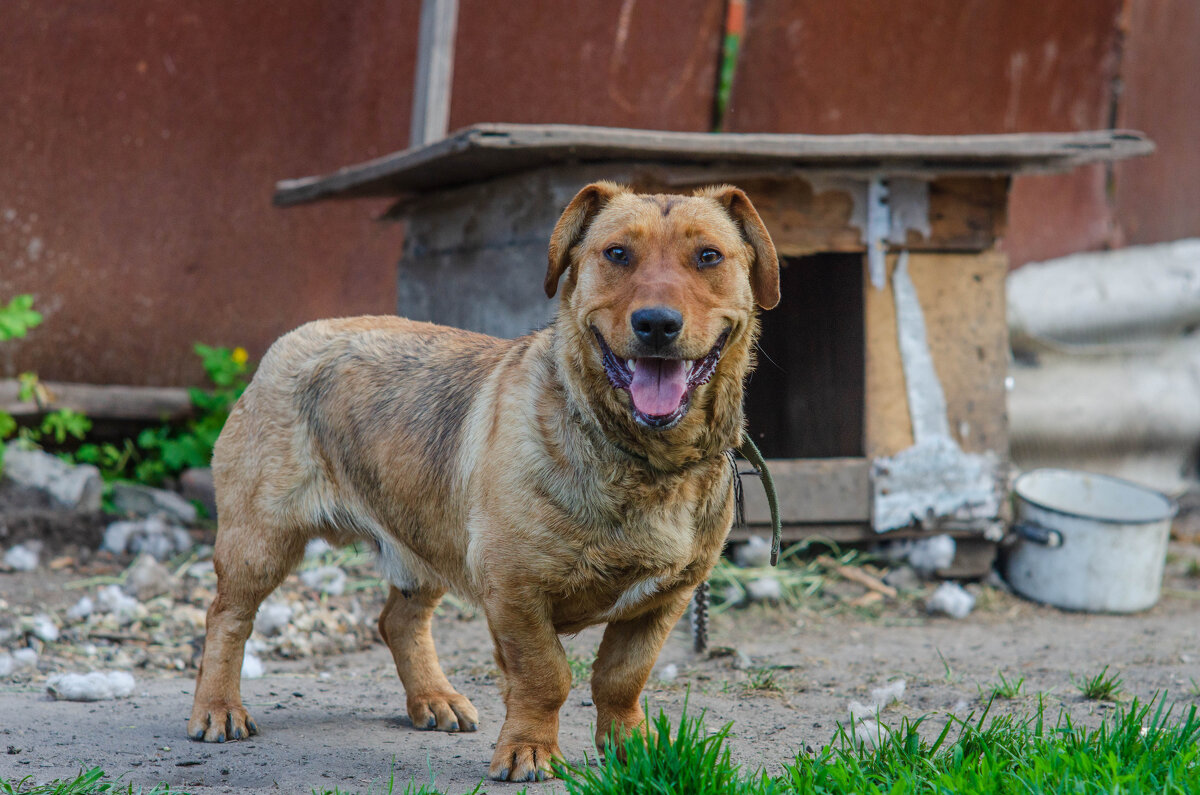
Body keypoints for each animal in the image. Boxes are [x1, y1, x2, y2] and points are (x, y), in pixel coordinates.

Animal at [184, 180, 777, 782]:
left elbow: (622, 675)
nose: (656, 324)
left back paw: (434, 698)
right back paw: (218, 709)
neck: (643, 458)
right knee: (226, 618)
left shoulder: (666, 599)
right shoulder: (515, 591)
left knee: (398, 621)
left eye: (709, 256)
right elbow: (545, 675)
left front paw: (632, 746)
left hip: (423, 538)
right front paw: (530, 750)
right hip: (260, 542)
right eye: (616, 254)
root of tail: (295, 337)